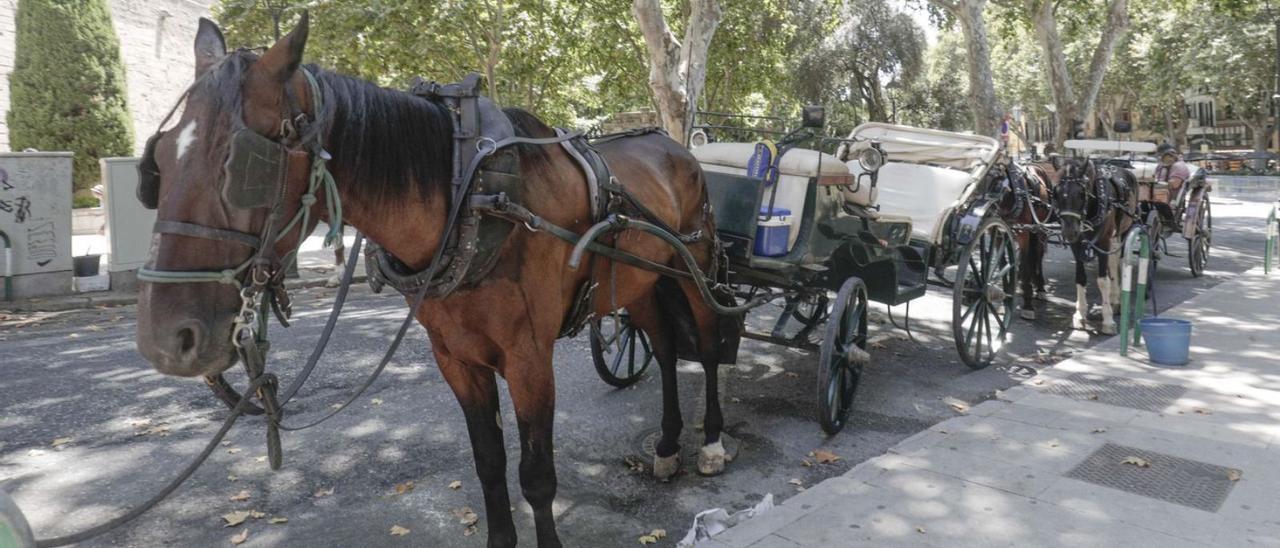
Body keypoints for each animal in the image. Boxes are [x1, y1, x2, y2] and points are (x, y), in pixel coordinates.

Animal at [136, 14, 737, 545]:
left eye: (241, 165)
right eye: (157, 162)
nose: (166, 340)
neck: (469, 194)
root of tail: (677, 146)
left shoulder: (529, 359)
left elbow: (536, 477)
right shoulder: (456, 357)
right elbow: (489, 464)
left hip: (692, 269)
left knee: (707, 343)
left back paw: (710, 442)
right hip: (641, 281)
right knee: (664, 348)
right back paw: (666, 446)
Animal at [1049, 154, 1141, 332]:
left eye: (1081, 193)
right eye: (1056, 193)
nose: (1069, 231)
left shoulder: (1104, 241)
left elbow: (1103, 281)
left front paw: (1108, 320)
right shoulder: (1077, 244)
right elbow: (1080, 278)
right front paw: (1080, 314)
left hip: (1123, 231)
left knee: (1116, 261)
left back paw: (1115, 300)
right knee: (1113, 261)